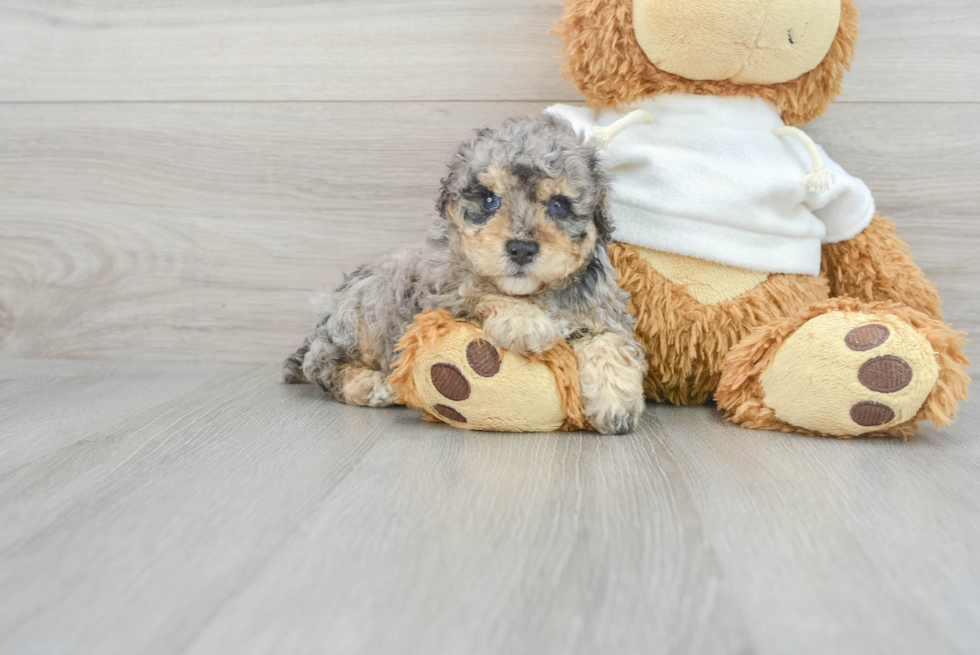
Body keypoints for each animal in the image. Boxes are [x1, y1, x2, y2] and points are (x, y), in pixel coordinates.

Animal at [284, 114, 648, 434]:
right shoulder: (441, 290)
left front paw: (615, 404)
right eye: (488, 200)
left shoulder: (603, 312)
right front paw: (525, 323)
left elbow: (611, 343)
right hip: (361, 319)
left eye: (559, 205)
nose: (521, 249)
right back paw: (371, 385)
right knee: (320, 364)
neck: (534, 292)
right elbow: (475, 287)